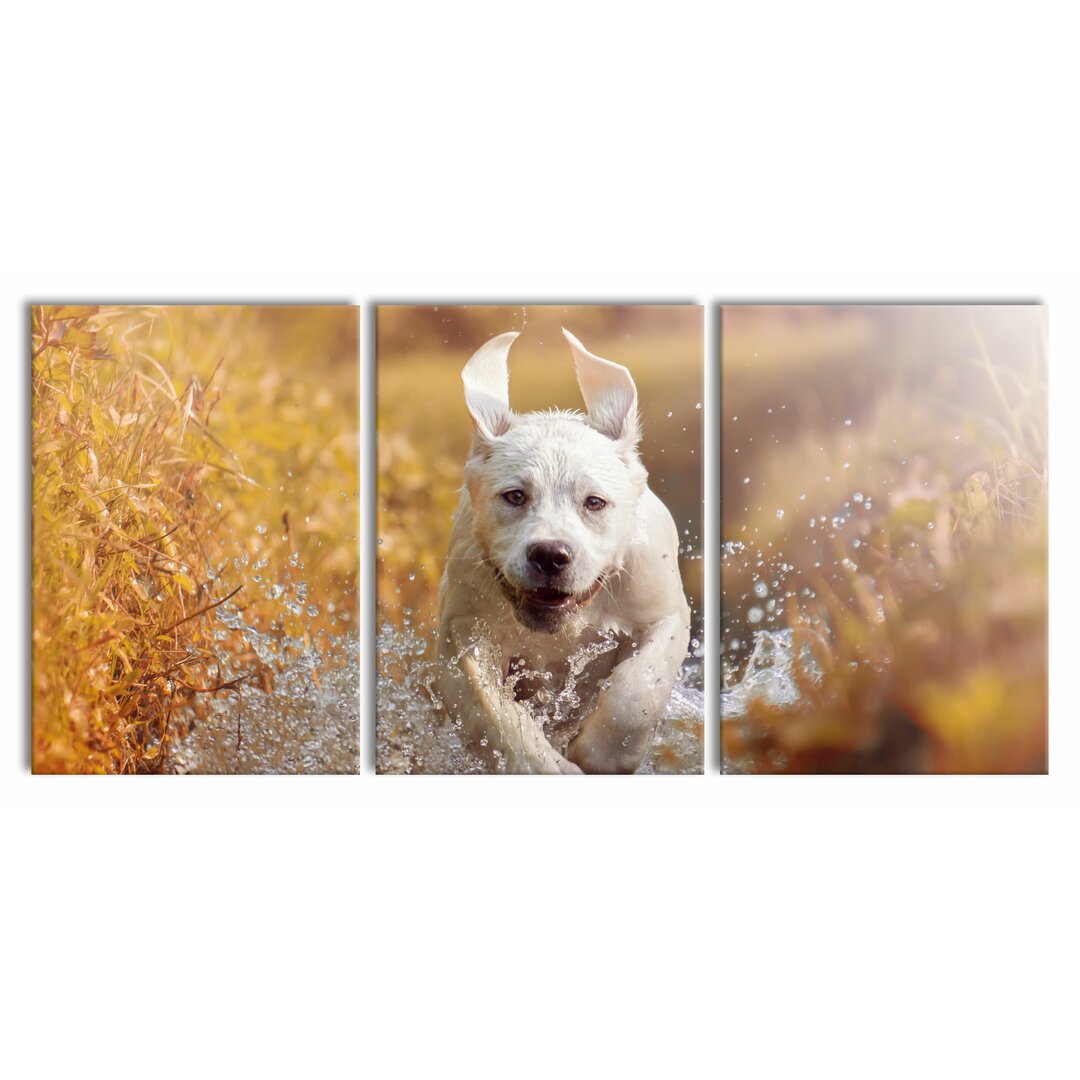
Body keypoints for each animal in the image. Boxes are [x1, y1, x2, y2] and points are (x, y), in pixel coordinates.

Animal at [434, 330, 686, 777]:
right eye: (515, 496)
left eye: (594, 502)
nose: (550, 555)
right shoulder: (463, 634)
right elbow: (494, 714)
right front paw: (550, 767)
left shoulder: (663, 613)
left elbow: (637, 690)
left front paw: (602, 754)